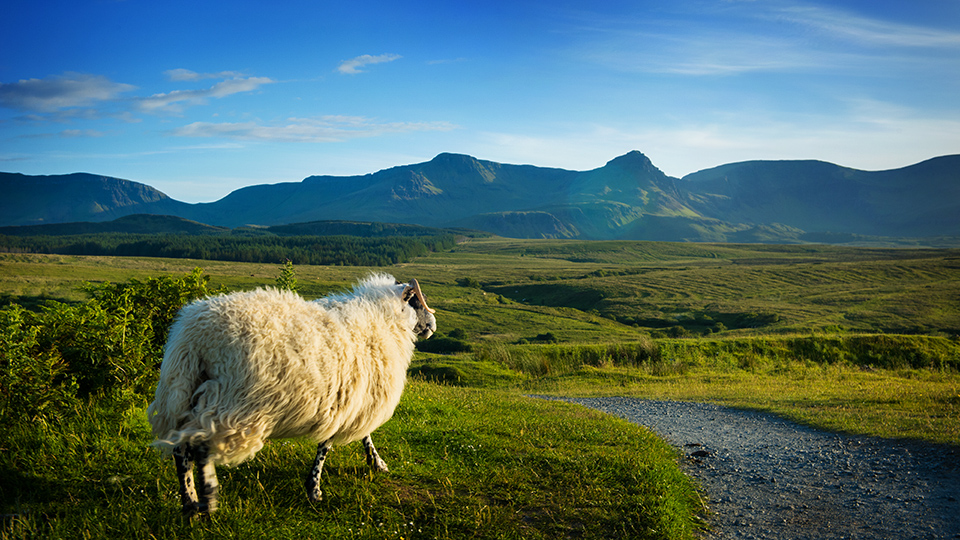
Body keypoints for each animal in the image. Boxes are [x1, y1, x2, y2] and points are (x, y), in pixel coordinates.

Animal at [146, 273, 436, 517]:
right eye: (416, 302)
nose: (433, 325)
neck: (385, 317)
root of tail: (196, 336)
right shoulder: (347, 399)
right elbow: (326, 446)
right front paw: (315, 490)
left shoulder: (353, 398)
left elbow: (364, 436)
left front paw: (376, 463)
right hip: (234, 402)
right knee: (201, 446)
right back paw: (208, 500)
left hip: (182, 390)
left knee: (182, 450)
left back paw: (190, 504)